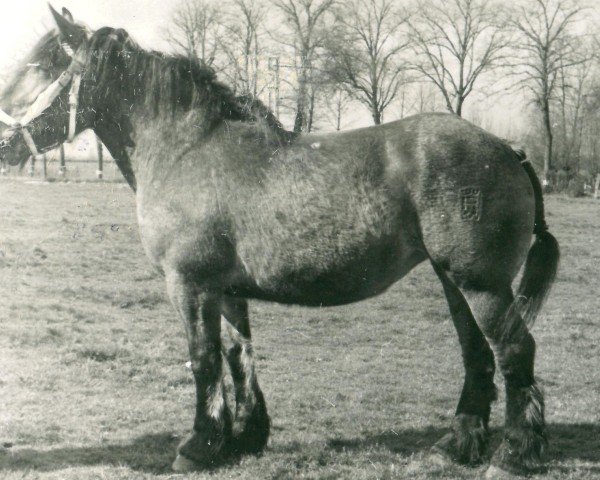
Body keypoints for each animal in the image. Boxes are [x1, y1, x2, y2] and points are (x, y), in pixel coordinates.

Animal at [0, 6, 560, 476]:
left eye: (43, 66)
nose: (3, 143)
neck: (187, 149)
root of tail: (507, 148)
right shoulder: (224, 290)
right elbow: (238, 354)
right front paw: (243, 437)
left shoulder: (189, 285)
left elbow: (203, 359)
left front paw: (197, 445)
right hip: (453, 281)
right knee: (477, 353)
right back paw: (458, 445)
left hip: (480, 283)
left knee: (514, 350)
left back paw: (514, 454)